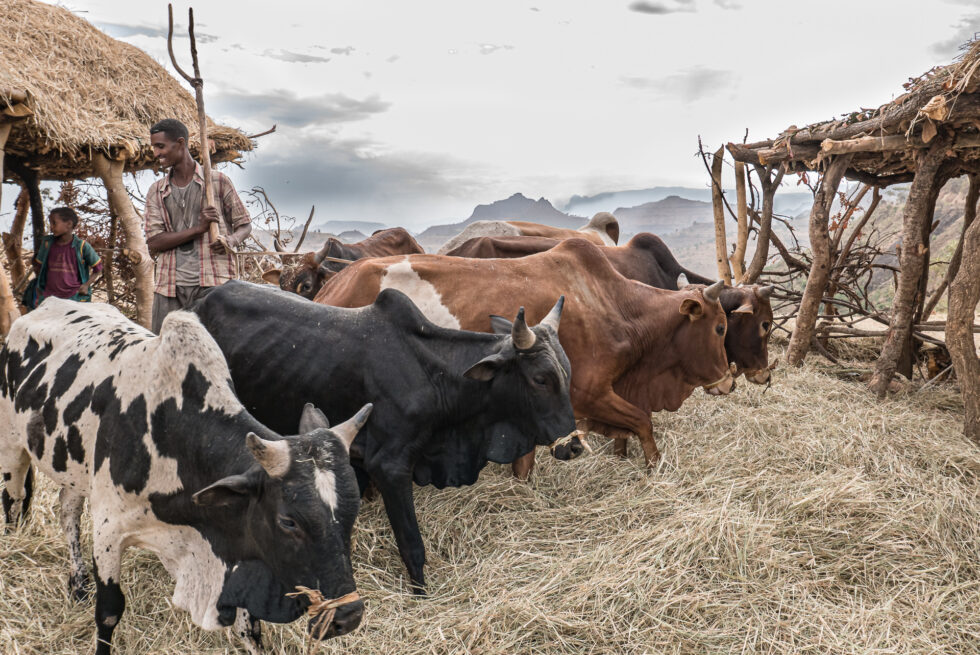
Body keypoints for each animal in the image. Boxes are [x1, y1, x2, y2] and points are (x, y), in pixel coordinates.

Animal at [0, 299, 370, 654]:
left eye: (352, 512)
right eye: (288, 521)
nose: (349, 617)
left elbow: (249, 627)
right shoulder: (109, 533)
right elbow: (108, 612)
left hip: (72, 466)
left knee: (68, 511)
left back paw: (77, 582)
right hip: (13, 448)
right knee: (14, 502)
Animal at [191, 281, 578, 594]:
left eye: (567, 371)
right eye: (541, 379)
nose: (574, 445)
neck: (433, 375)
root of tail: (202, 300)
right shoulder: (390, 467)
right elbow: (411, 544)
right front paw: (421, 596)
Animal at [315, 238, 735, 479]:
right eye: (719, 328)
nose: (729, 382)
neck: (612, 304)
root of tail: (331, 286)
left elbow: (528, 460)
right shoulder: (590, 392)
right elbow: (643, 422)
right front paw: (654, 467)